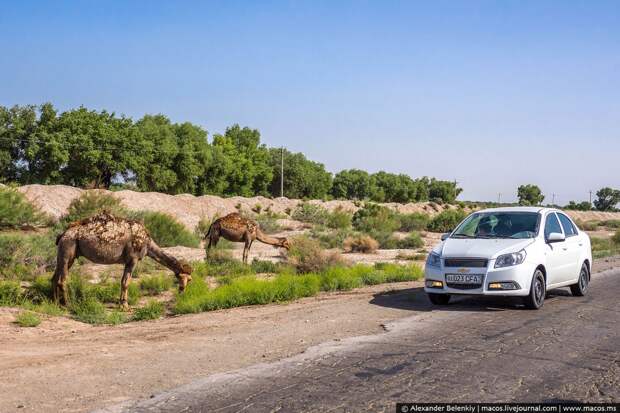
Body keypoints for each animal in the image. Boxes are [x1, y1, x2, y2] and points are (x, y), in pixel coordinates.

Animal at [54, 212, 193, 306]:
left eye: (190, 280)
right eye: (182, 277)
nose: (182, 290)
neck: (147, 243)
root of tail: (63, 234)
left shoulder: (127, 261)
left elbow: (122, 281)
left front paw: (122, 303)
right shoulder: (133, 259)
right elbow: (126, 282)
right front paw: (125, 305)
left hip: (65, 254)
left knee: (55, 278)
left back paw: (55, 303)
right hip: (68, 248)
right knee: (62, 280)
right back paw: (67, 304)